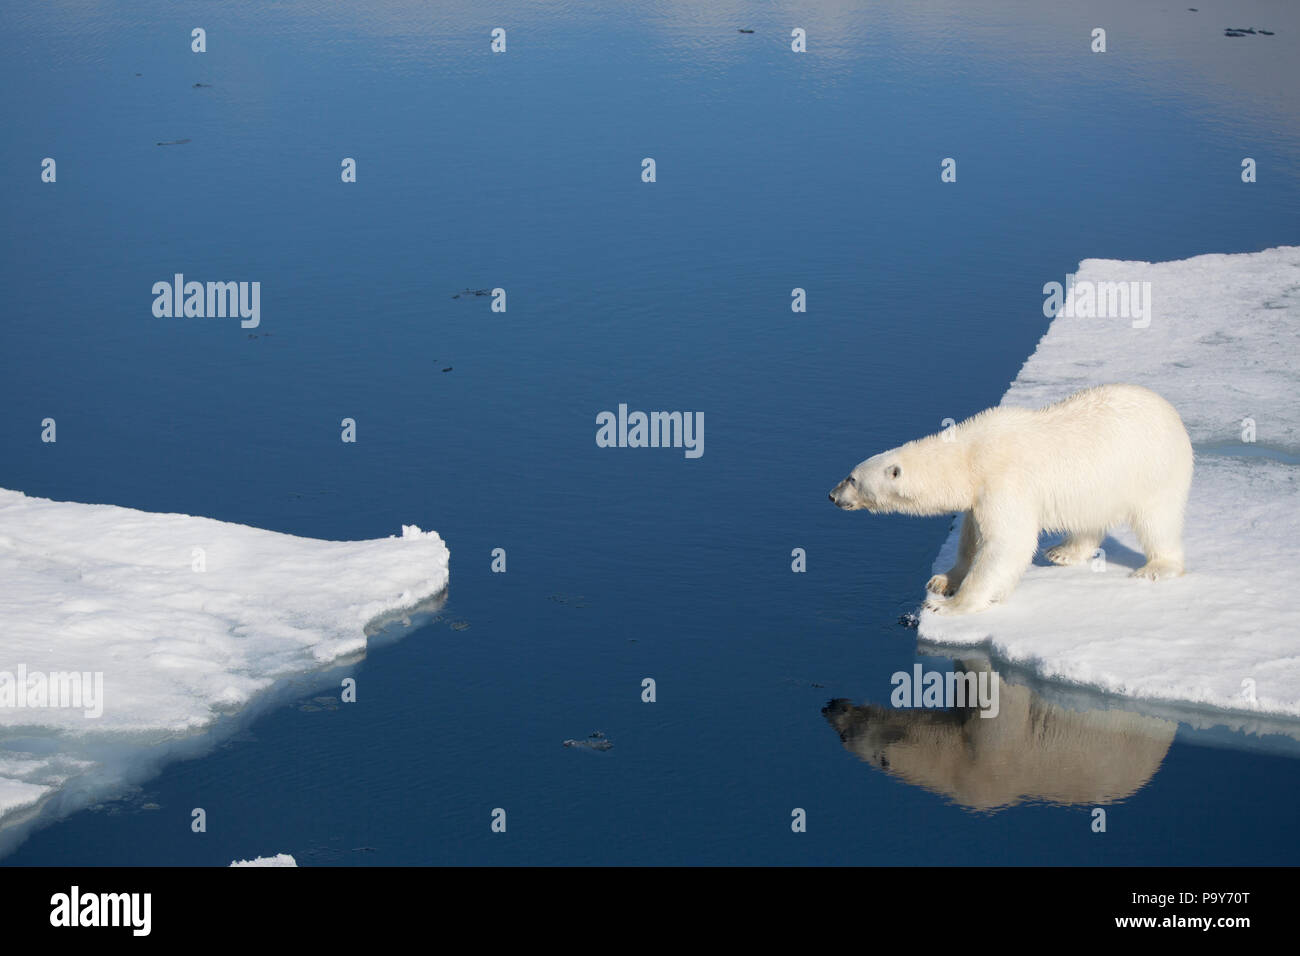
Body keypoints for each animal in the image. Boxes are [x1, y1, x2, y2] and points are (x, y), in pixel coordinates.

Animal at [826, 385, 1190, 616]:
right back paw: (1063, 552)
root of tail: (1174, 415)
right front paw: (943, 580)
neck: (968, 455)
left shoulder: (1004, 482)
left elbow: (1007, 543)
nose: (831, 495)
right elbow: (971, 536)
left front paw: (945, 605)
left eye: (852, 478)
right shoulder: (978, 494)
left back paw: (1155, 568)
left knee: (1157, 521)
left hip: (1153, 470)